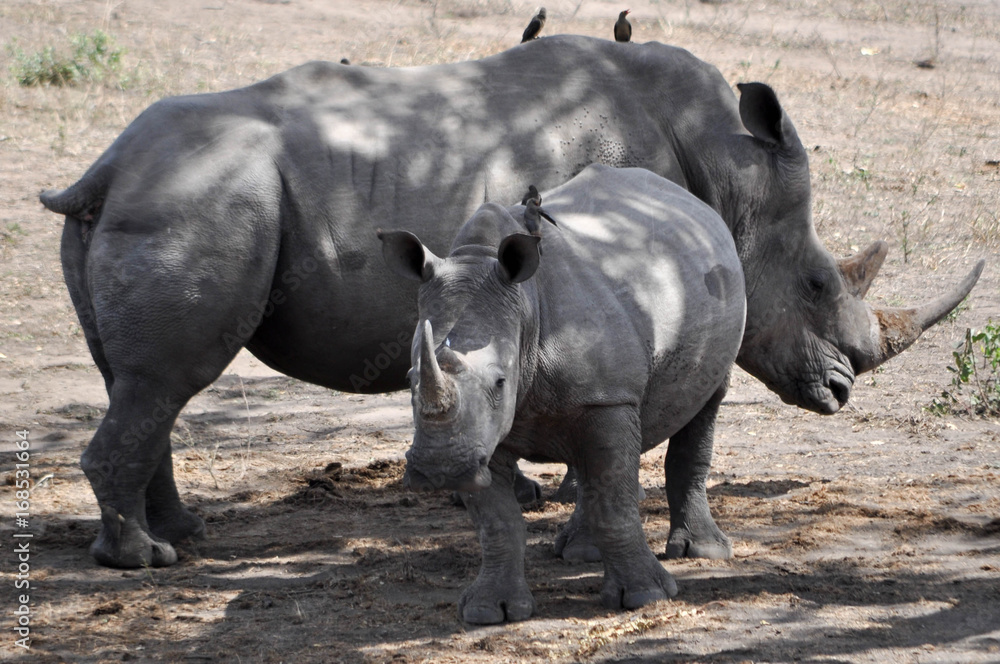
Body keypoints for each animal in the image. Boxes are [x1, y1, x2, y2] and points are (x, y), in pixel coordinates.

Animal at [39, 35, 982, 568]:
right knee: (165, 380)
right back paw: (143, 561)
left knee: (144, 384)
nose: (841, 389)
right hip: (195, 199)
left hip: (161, 198)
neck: (731, 161)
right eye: (818, 284)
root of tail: (105, 168)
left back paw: (184, 535)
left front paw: (537, 494)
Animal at [380, 165, 748, 621]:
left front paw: (646, 597)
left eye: (500, 382)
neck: (525, 305)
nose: (438, 471)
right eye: (410, 377)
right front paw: (490, 611)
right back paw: (582, 554)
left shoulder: (608, 396)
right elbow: (497, 522)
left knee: (704, 406)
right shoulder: (478, 437)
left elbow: (614, 500)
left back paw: (705, 552)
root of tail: (690, 199)